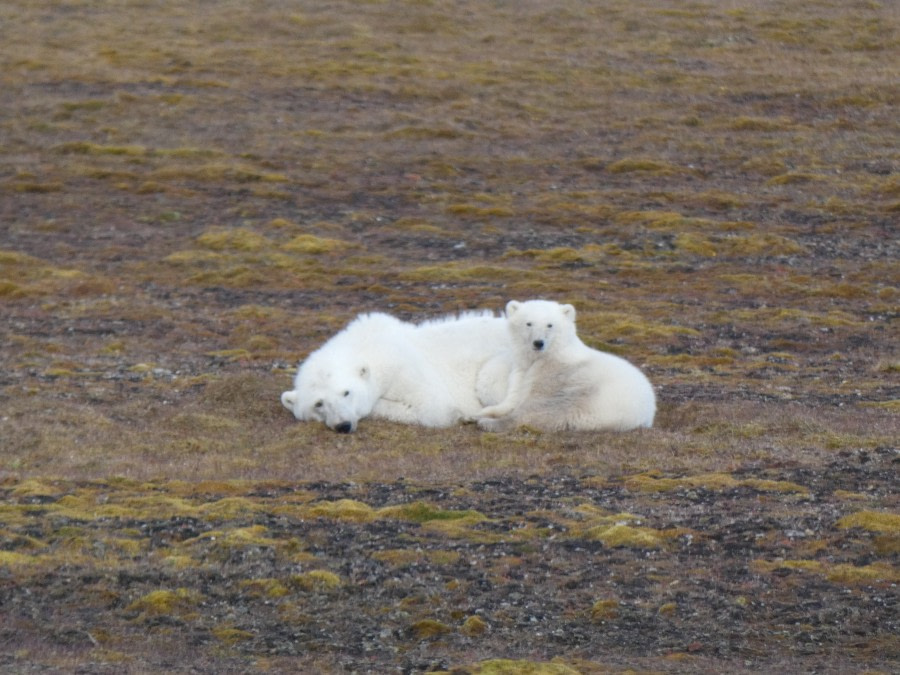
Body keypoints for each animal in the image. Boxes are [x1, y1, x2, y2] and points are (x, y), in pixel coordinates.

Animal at [282, 312, 510, 434]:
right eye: (318, 403)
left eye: (346, 392)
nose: (343, 425)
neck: (369, 345)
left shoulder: (405, 369)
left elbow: (432, 407)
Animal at [474, 302, 656, 434]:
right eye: (528, 323)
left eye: (550, 325)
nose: (538, 343)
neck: (551, 356)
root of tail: (648, 411)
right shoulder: (522, 368)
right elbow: (515, 393)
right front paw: (489, 410)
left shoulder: (556, 376)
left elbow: (536, 406)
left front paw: (488, 418)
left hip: (593, 397)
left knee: (554, 411)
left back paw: (488, 423)